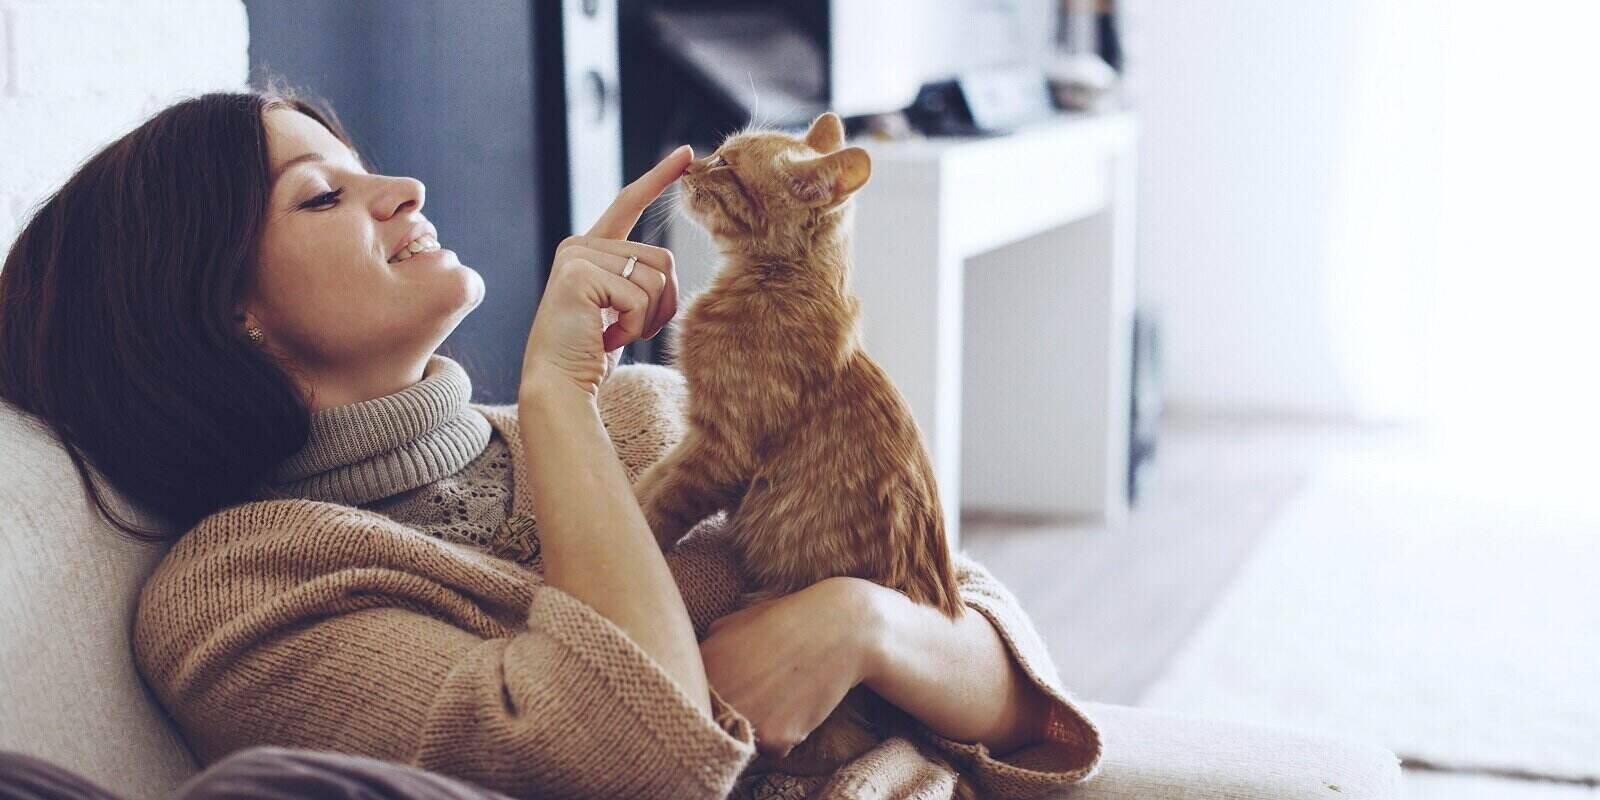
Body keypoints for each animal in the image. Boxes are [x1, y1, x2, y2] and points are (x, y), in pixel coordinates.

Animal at [633, 114, 960, 780]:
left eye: (728, 166)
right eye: (717, 151)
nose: (689, 163)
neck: (769, 284)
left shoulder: (720, 448)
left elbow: (661, 505)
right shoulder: (697, 438)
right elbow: (651, 480)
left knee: (825, 754)